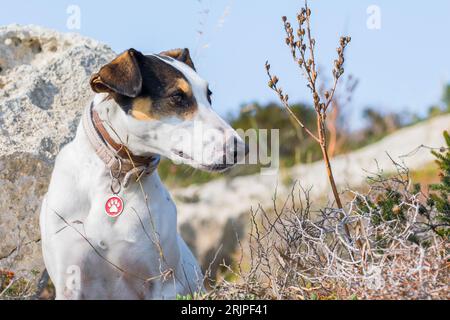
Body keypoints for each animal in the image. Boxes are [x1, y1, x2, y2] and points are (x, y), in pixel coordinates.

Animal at [39, 48, 246, 300]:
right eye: (177, 96)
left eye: (209, 96)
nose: (240, 148)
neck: (117, 174)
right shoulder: (70, 282)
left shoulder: (162, 284)